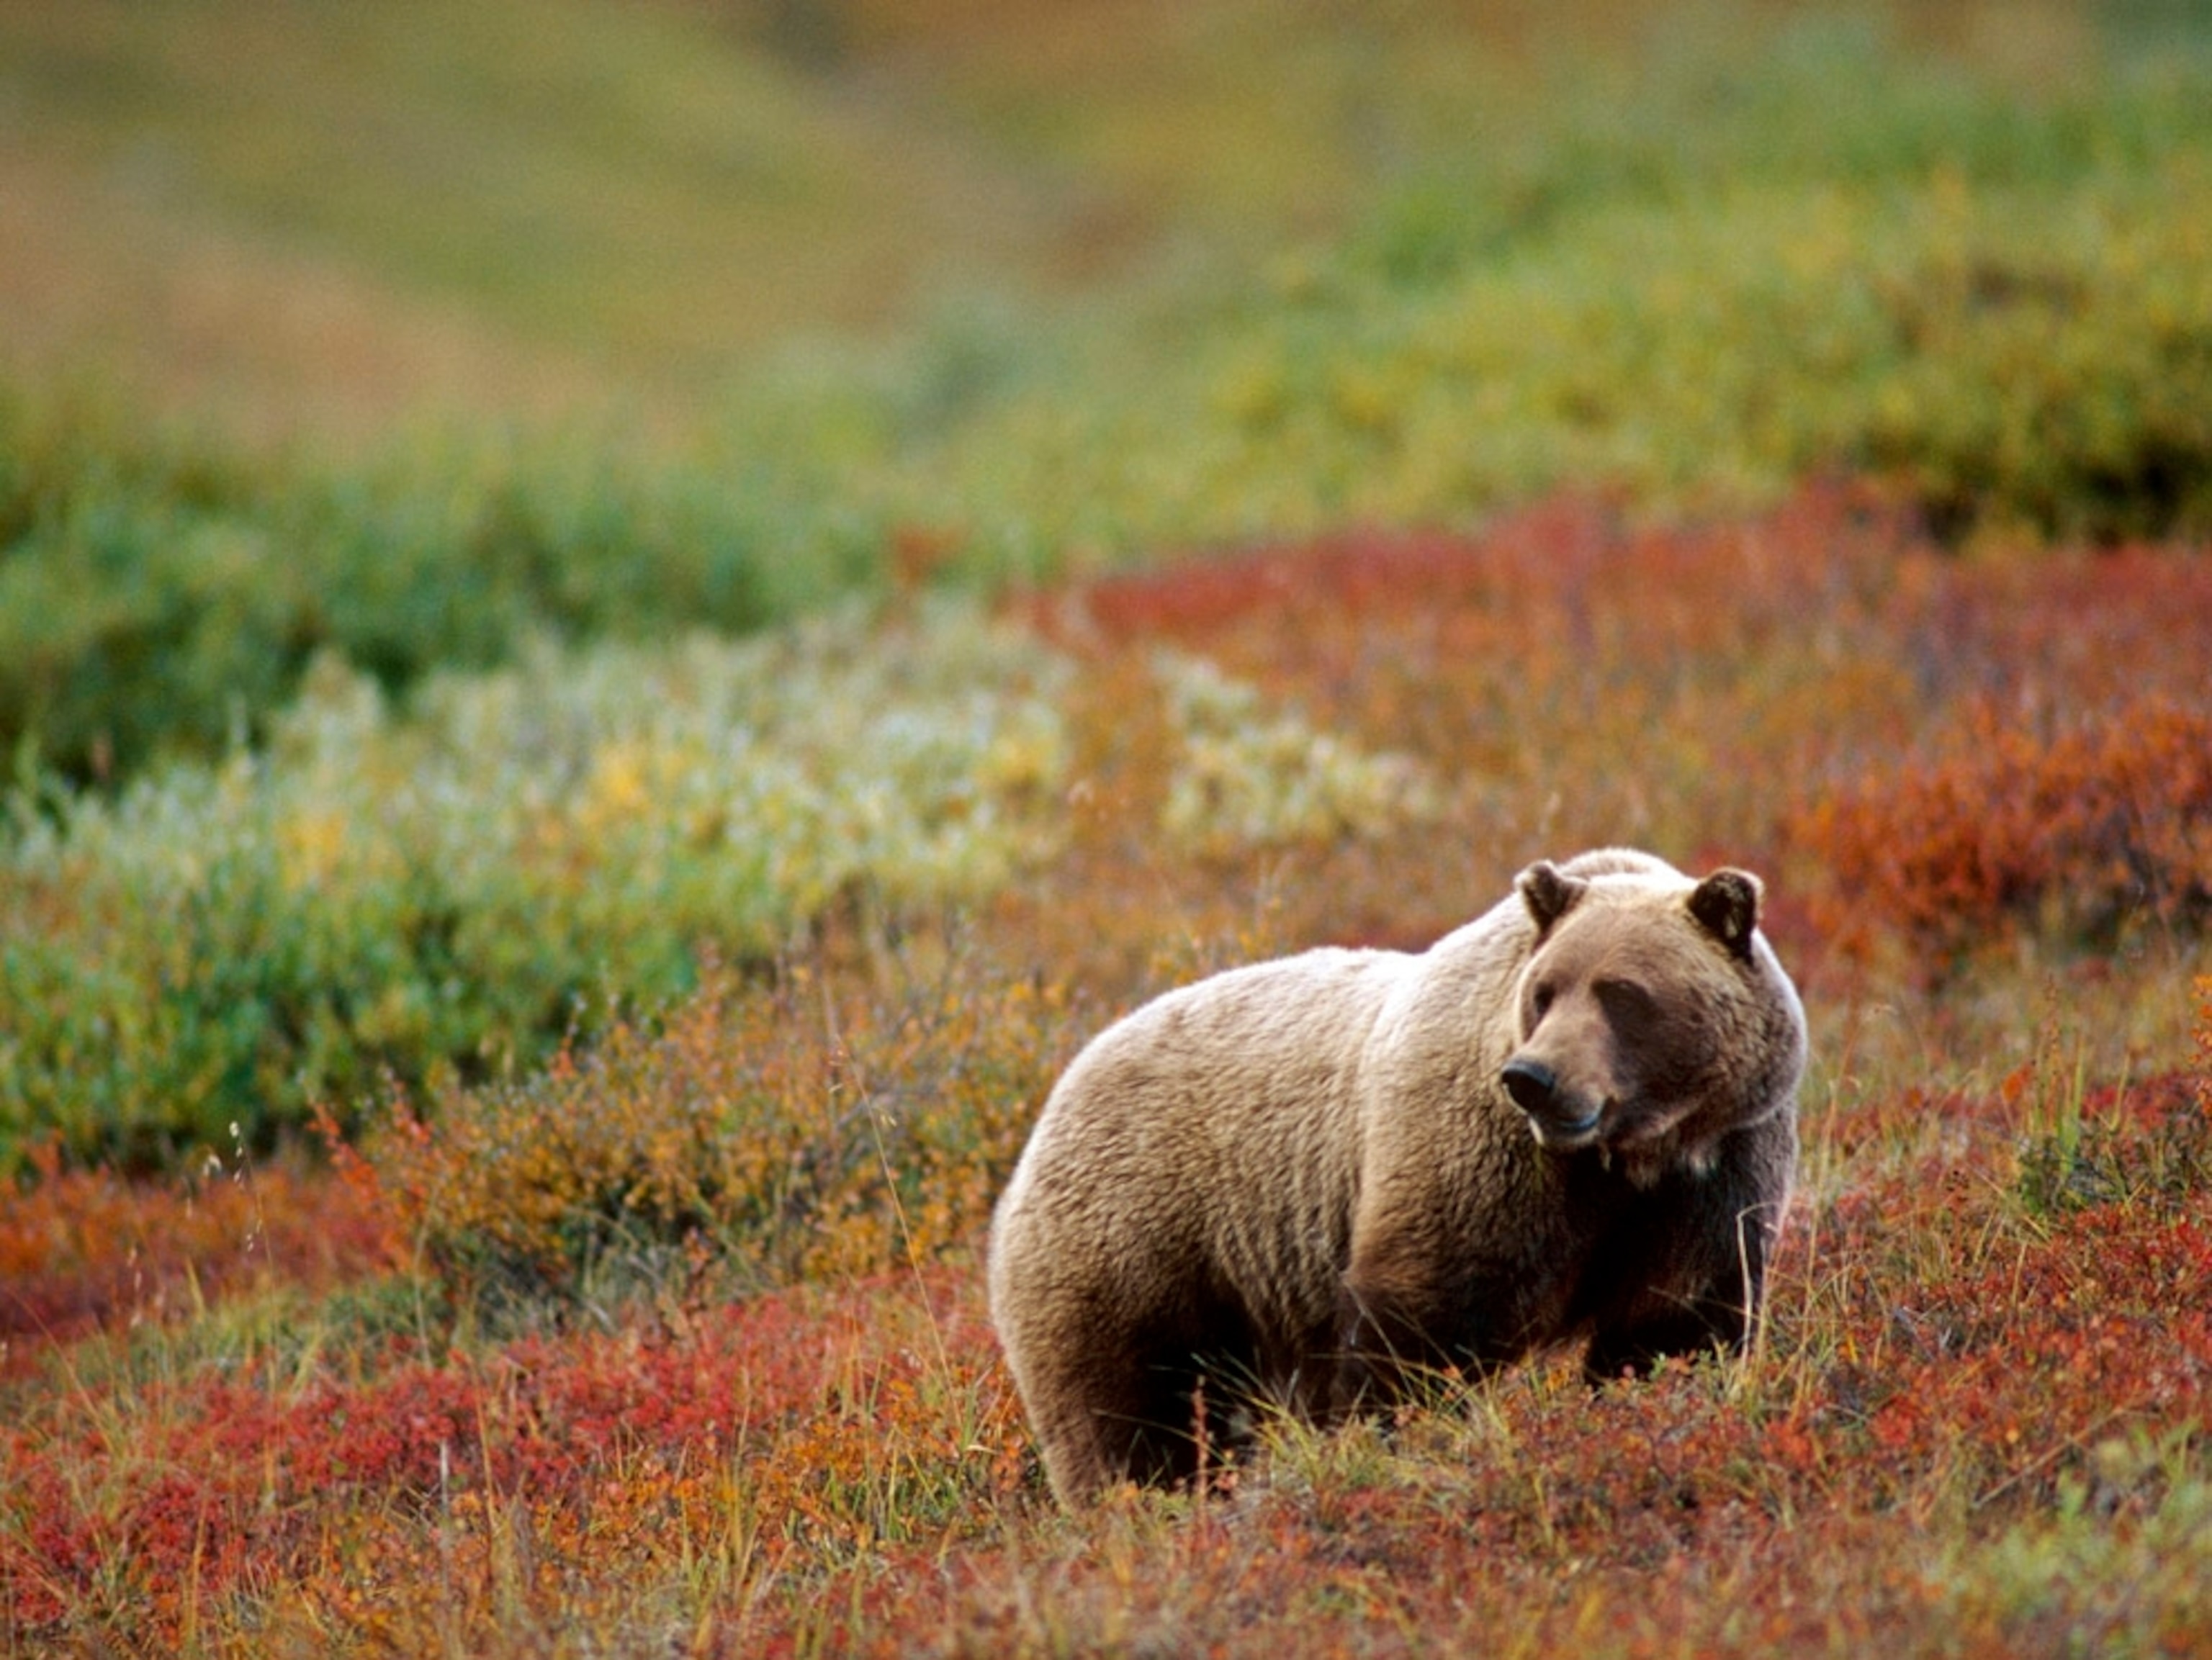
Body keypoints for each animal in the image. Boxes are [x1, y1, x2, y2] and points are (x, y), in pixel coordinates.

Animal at [987, 848, 1805, 1507]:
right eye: (1545, 990)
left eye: (1623, 992)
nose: (1534, 1078)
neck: (1625, 1155)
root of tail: (1057, 1093)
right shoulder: (1481, 1158)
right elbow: (1426, 1322)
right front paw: (1401, 1443)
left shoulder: (1713, 1173)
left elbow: (1675, 1325)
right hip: (1141, 1238)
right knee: (1126, 1411)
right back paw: (1142, 1505)